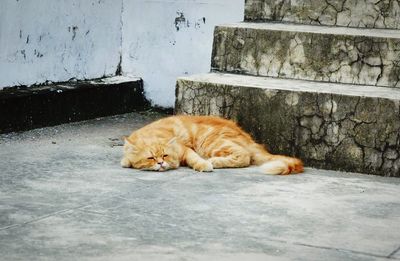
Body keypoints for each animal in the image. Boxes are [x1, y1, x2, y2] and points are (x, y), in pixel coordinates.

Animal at [122, 115, 304, 174]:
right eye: (151, 158)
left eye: (165, 155)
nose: (160, 163)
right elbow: (125, 161)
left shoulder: (186, 150)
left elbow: (194, 159)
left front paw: (203, 165)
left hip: (210, 143)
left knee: (244, 156)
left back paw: (213, 161)